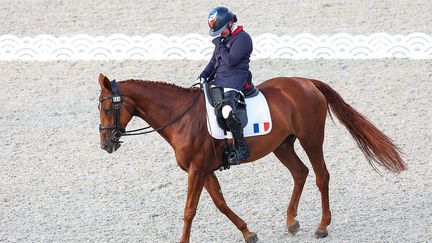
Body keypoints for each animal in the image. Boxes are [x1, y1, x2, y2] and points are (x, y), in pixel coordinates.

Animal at [97, 72, 404, 243]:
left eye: (107, 108)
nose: (105, 145)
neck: (182, 117)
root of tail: (306, 83)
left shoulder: (197, 169)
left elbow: (189, 210)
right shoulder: (206, 170)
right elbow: (221, 204)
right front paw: (248, 233)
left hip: (311, 139)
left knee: (321, 176)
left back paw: (322, 227)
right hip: (282, 145)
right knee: (300, 173)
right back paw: (291, 222)